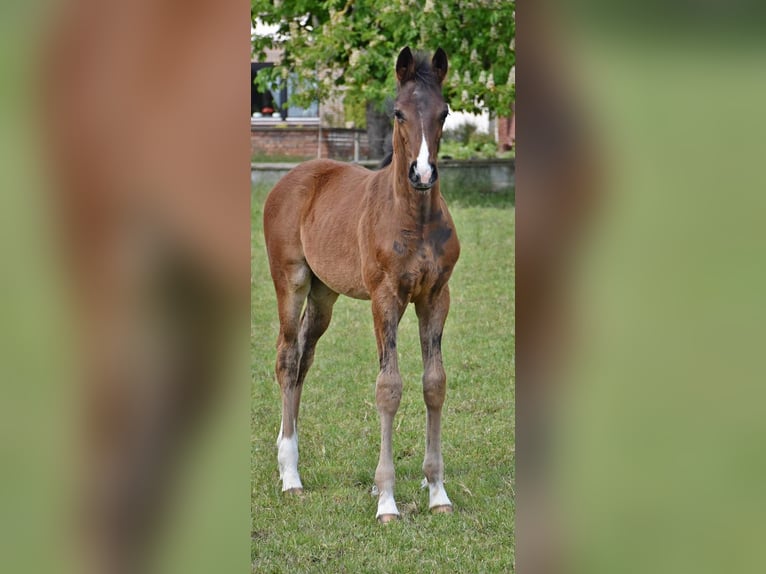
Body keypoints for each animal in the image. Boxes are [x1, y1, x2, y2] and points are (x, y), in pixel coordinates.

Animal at [263, 46, 460, 523]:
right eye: (398, 112)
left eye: (444, 112)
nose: (422, 174)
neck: (414, 218)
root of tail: (290, 178)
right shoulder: (384, 297)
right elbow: (388, 387)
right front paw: (387, 499)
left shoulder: (435, 297)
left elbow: (434, 382)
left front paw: (437, 492)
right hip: (291, 280)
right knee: (286, 359)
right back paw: (290, 476)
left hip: (323, 295)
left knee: (302, 359)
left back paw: (287, 457)